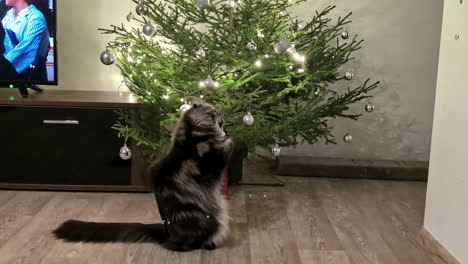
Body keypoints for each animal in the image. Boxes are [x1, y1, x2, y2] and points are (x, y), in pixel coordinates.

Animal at [53, 97, 234, 252]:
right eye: (215, 114)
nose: (223, 117)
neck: (190, 139)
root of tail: (166, 232)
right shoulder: (212, 163)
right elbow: (226, 146)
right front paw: (229, 138)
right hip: (207, 219)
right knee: (186, 245)